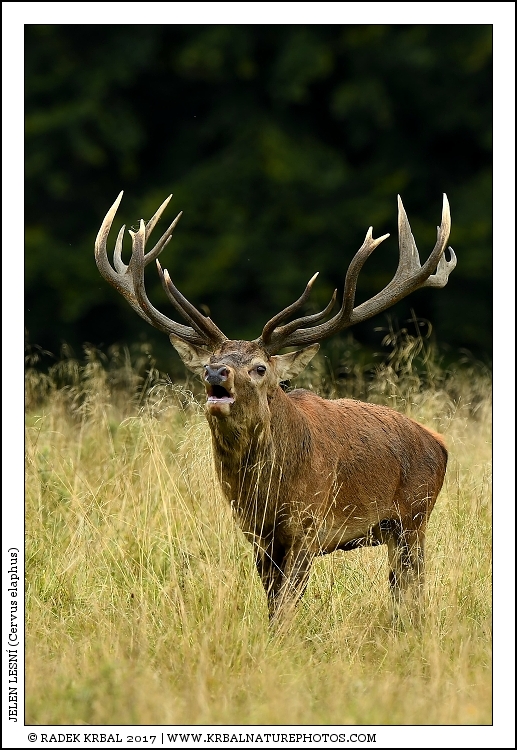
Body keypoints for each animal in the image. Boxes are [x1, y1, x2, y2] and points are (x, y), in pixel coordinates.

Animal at [95, 191, 456, 624]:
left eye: (260, 368)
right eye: (209, 360)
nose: (215, 372)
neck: (269, 489)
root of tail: (439, 443)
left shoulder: (310, 524)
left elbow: (285, 607)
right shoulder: (257, 534)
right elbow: (272, 605)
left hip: (415, 517)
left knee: (413, 588)